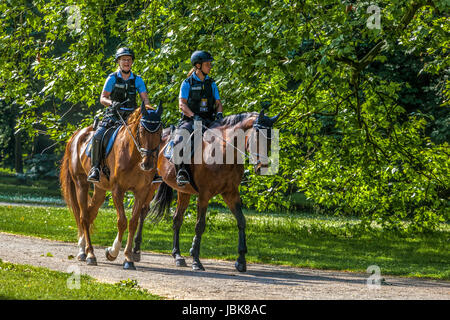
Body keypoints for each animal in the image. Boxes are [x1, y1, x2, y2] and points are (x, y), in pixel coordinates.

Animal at [59, 104, 163, 268]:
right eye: (141, 131)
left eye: (159, 132)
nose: (147, 164)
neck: (134, 156)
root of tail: (76, 135)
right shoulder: (117, 190)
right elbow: (122, 221)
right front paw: (113, 252)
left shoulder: (142, 191)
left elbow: (133, 222)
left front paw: (128, 258)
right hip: (81, 183)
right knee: (83, 216)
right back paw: (89, 254)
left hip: (100, 189)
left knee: (90, 213)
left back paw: (83, 249)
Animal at [134, 109, 280, 272]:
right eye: (257, 136)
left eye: (270, 139)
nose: (262, 167)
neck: (223, 151)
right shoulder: (204, 195)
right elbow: (200, 226)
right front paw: (196, 261)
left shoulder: (231, 193)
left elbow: (241, 221)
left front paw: (241, 261)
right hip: (151, 184)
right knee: (143, 211)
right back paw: (136, 249)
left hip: (183, 192)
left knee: (177, 219)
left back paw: (177, 256)